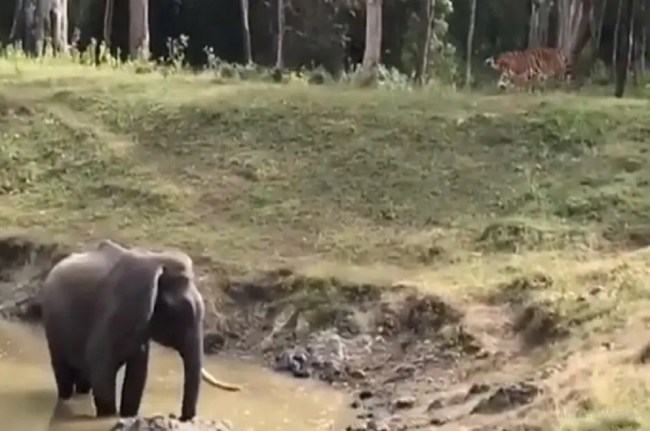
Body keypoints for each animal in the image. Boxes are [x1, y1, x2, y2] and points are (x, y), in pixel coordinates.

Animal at [40, 239, 241, 422]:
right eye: (181, 312)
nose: (178, 417)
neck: (156, 261)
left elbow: (137, 376)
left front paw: (128, 416)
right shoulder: (114, 313)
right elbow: (102, 371)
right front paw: (109, 418)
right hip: (52, 326)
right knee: (64, 373)